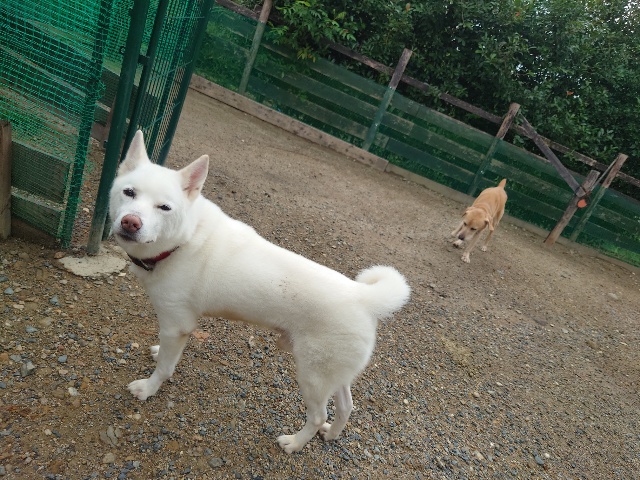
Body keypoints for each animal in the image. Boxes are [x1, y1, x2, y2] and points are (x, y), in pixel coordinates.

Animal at [109, 131, 411, 453]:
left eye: (164, 208)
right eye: (129, 192)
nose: (130, 222)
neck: (184, 239)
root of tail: (365, 298)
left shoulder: (177, 325)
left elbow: (165, 368)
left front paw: (147, 389)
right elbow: (165, 355)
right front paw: (156, 354)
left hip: (312, 377)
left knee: (318, 415)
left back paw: (294, 443)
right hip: (334, 374)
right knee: (346, 406)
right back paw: (331, 435)